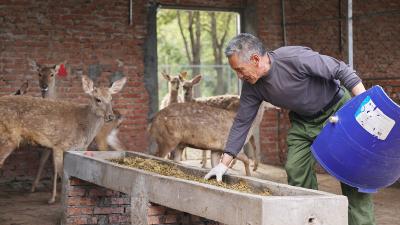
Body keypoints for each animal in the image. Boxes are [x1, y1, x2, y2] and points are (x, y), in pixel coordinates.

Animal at [0, 74, 126, 203]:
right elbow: (62, 174)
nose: (110, 116)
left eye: (111, 98)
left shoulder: (78, 149)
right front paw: (55, 200)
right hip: (8, 138)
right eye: (97, 99)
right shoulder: (59, 145)